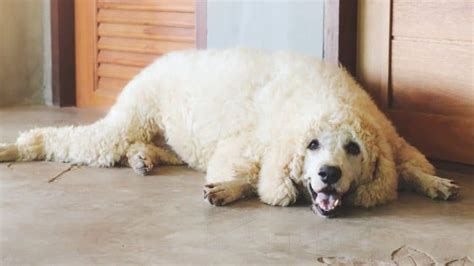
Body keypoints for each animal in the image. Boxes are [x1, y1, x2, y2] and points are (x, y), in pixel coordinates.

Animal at [0, 48, 460, 217]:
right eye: (312, 145)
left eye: (353, 148)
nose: (328, 174)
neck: (327, 98)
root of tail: (158, 60)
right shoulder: (249, 148)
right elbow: (255, 177)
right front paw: (227, 189)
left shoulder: (391, 138)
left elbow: (409, 165)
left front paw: (435, 181)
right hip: (130, 118)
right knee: (78, 140)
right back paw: (19, 146)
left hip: (173, 140)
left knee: (148, 147)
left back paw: (142, 158)